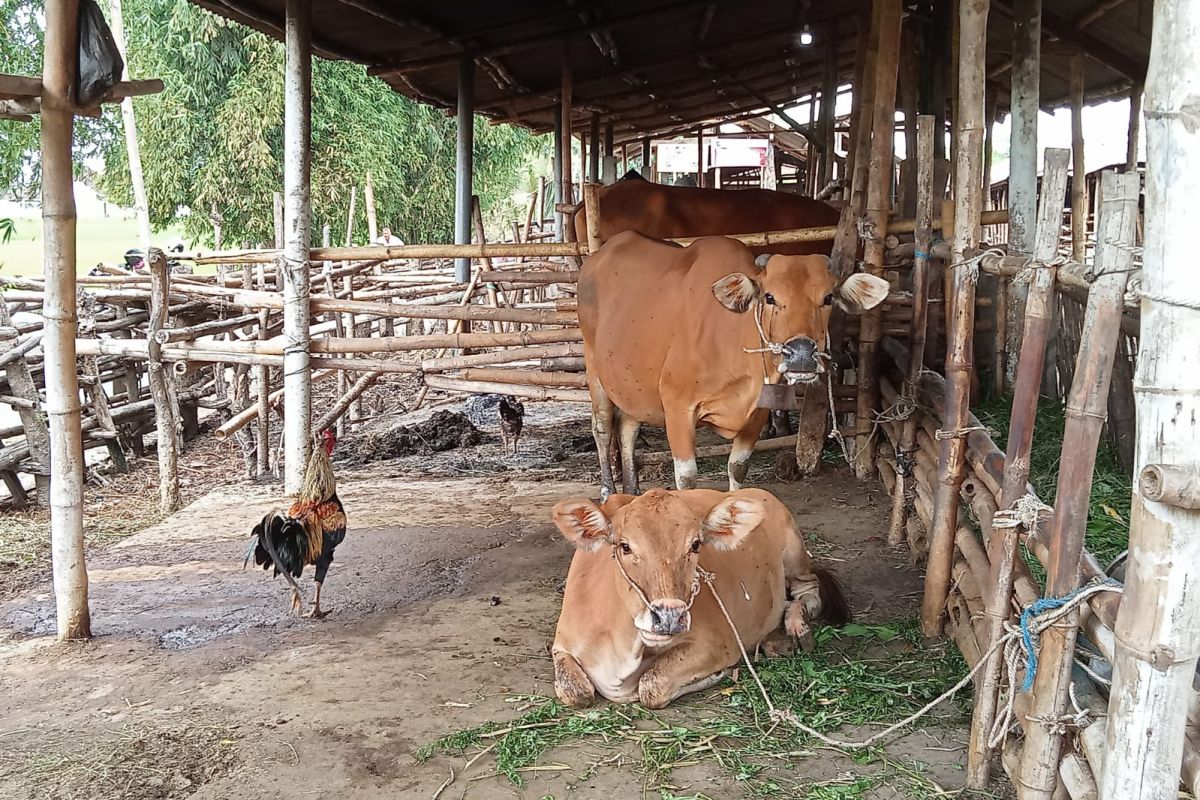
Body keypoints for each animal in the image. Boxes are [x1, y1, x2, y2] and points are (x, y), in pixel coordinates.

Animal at [549, 489, 849, 705]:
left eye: (695, 545)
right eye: (625, 546)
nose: (669, 617)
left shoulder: (719, 642)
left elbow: (651, 686)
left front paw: (718, 674)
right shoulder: (561, 645)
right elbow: (576, 692)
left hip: (795, 555)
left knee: (807, 593)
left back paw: (797, 628)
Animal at [580, 227, 892, 501]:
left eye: (827, 298)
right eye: (770, 297)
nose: (801, 354)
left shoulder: (757, 414)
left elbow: (738, 468)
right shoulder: (678, 406)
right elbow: (687, 478)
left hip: (631, 384)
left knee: (628, 426)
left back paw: (632, 491)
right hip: (594, 367)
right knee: (603, 427)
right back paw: (608, 492)